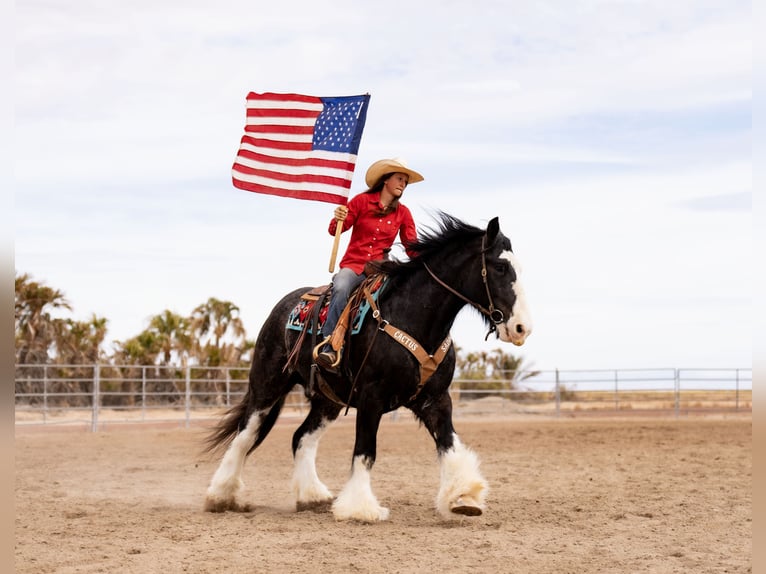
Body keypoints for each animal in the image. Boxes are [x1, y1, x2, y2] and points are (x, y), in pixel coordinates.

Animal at [204, 214, 536, 524]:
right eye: (500, 267)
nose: (522, 328)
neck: (412, 316)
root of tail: (284, 306)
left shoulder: (436, 400)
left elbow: (449, 444)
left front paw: (463, 497)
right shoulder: (371, 398)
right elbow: (365, 451)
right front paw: (360, 507)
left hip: (327, 401)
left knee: (301, 437)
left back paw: (312, 495)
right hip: (267, 385)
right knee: (245, 435)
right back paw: (220, 496)